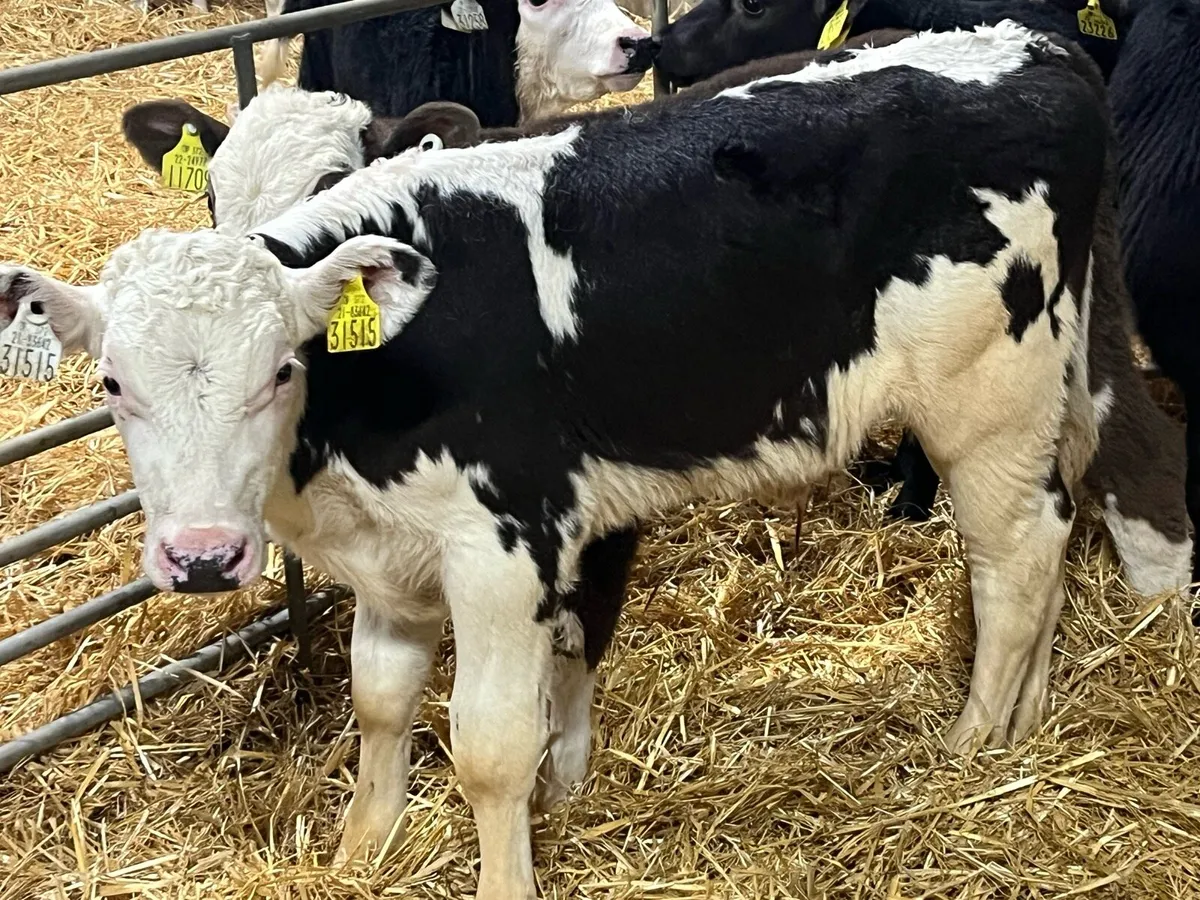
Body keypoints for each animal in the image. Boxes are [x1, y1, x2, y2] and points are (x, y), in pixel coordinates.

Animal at [3, 24, 1108, 897]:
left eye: (282, 368)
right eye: (113, 384)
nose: (199, 557)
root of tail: (1036, 46)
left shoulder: (504, 540)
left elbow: (493, 746)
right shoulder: (392, 555)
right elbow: (381, 702)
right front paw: (361, 851)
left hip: (988, 399)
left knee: (1012, 564)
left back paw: (969, 747)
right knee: (1052, 534)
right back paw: (1028, 721)